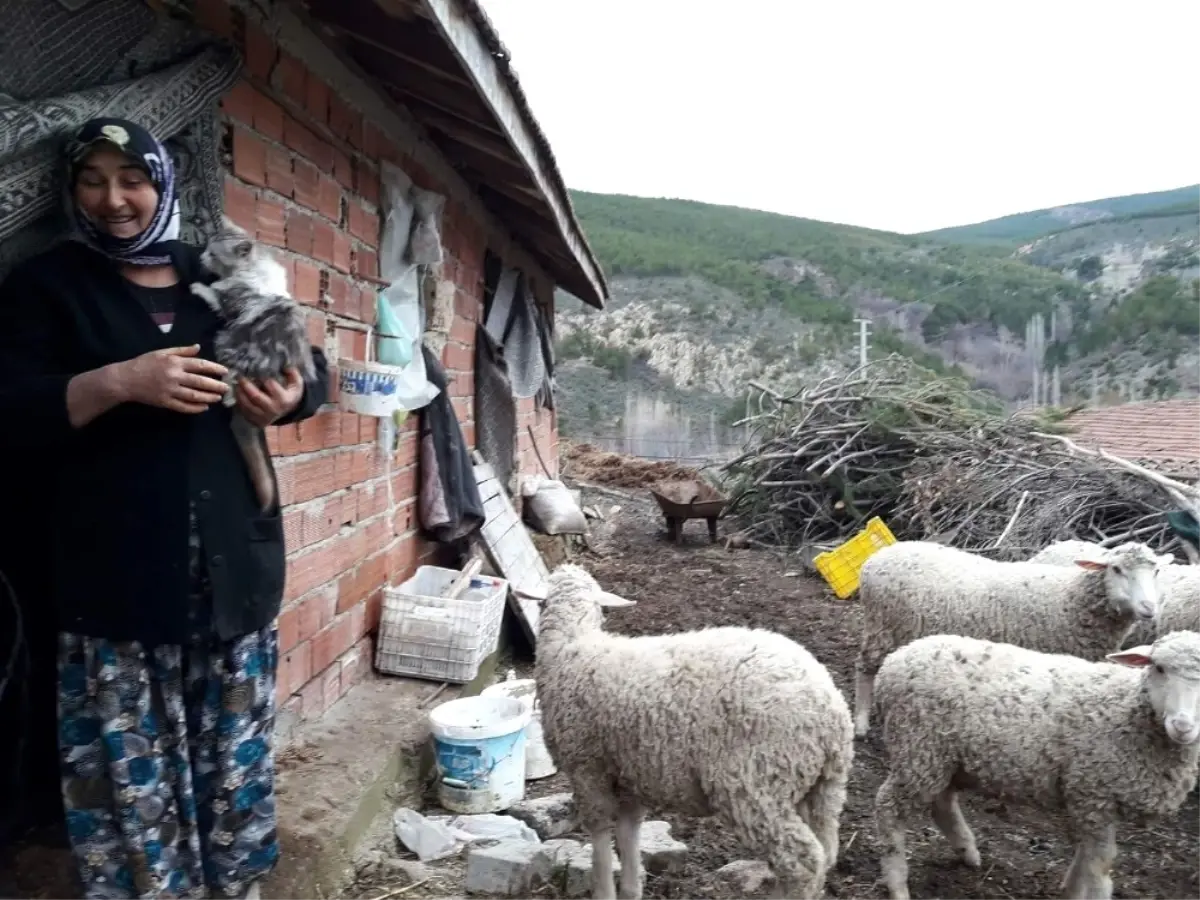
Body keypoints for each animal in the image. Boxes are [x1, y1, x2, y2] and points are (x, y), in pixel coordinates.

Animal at [190, 218, 314, 513]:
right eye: (206, 248)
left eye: (213, 254)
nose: (201, 256)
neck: (252, 265)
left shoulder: (233, 300)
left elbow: (215, 295)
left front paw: (199, 287)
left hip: (228, 344)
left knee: (231, 385)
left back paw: (225, 393)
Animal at [540, 564, 859, 900]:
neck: (573, 645)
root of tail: (832, 713)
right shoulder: (628, 772)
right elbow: (629, 832)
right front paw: (630, 889)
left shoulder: (586, 766)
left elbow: (599, 832)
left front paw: (603, 889)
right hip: (822, 789)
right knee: (826, 851)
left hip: (755, 785)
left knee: (802, 861)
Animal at [854, 542, 1171, 739]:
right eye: (1116, 569)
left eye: (1156, 571)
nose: (1149, 608)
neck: (1070, 599)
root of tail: (878, 557)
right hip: (880, 625)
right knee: (865, 669)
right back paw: (861, 722)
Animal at [868, 633, 1200, 900]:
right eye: (1159, 667)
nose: (1182, 726)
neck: (1128, 710)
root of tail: (897, 658)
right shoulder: (1094, 794)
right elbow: (1099, 866)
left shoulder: (1090, 797)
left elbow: (1086, 855)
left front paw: (1071, 890)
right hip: (918, 749)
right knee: (888, 808)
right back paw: (898, 884)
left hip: (944, 757)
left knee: (943, 804)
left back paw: (968, 852)